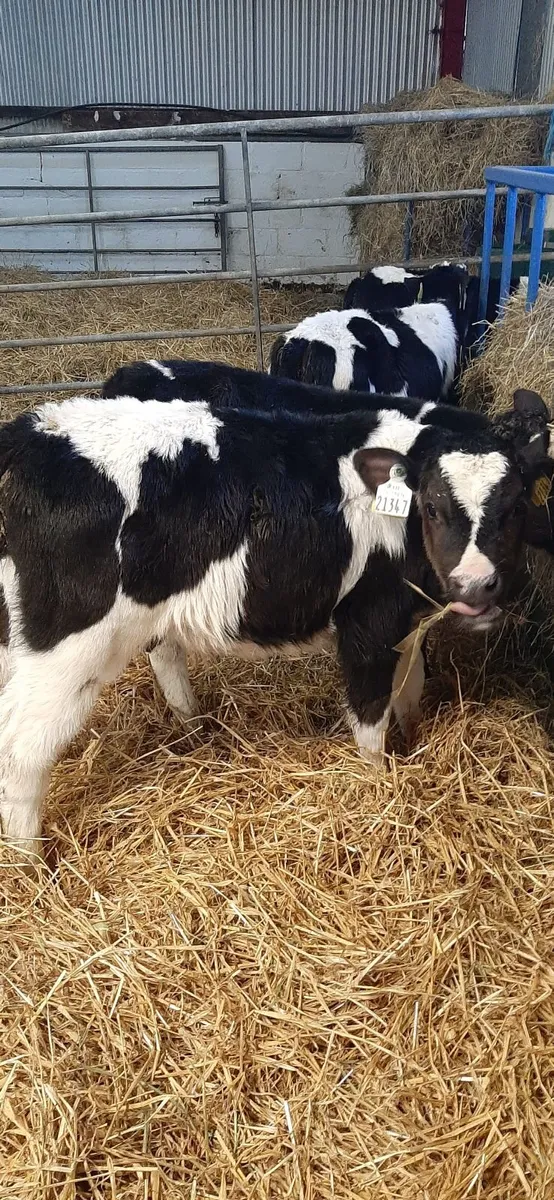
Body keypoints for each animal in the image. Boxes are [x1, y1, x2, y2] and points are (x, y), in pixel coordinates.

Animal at [0, 386, 549, 863]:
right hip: (68, 646)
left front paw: (412, 746)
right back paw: (31, 867)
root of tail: (31, 434)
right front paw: (378, 791)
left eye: (518, 506)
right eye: (431, 506)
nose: (475, 586)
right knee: (21, 749)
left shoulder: (409, 624)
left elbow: (409, 690)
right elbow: (370, 720)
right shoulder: (368, 623)